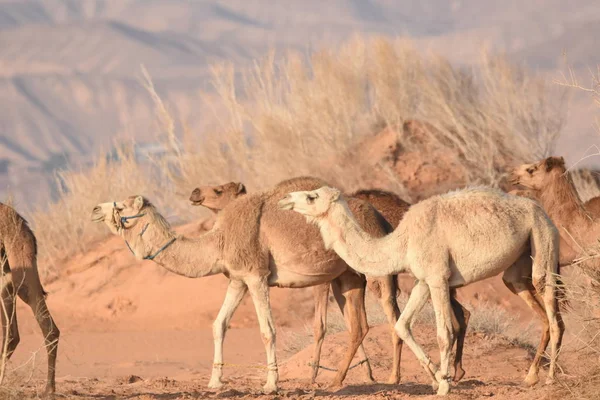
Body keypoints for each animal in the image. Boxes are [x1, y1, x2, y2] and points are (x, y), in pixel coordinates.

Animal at [92, 177, 404, 394]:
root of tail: (380, 217)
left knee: (392, 315)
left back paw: (393, 378)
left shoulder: (256, 275)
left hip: (374, 269)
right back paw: (338, 380)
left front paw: (271, 384)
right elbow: (218, 324)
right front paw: (215, 382)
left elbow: (267, 330)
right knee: (359, 326)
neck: (219, 240)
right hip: (347, 277)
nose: (95, 208)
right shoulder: (237, 279)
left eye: (121, 205)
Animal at [192, 181, 474, 382]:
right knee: (459, 311)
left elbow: (321, 325)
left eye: (218, 190)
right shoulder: (341, 279)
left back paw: (404, 376)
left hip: (398, 272)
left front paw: (314, 376)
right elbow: (351, 323)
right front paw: (366, 373)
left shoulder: (322, 278)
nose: (195, 193)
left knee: (413, 314)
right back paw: (454, 371)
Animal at [278, 186, 564, 396]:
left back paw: (551, 378)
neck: (401, 242)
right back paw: (530, 377)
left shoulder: (438, 278)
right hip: (517, 270)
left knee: (551, 306)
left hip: (543, 239)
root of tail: (542, 210)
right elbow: (402, 325)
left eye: (311, 196)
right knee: (534, 304)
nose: (284, 199)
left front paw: (445, 385)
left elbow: (444, 332)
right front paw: (437, 377)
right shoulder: (423, 281)